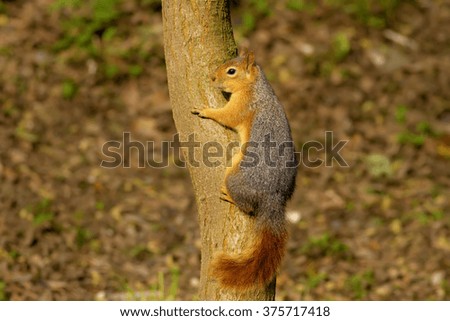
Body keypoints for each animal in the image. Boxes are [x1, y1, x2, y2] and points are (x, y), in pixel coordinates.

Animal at [192, 50, 298, 290]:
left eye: (232, 71)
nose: (213, 78)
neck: (255, 86)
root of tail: (274, 197)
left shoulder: (242, 106)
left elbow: (227, 116)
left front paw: (206, 111)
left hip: (234, 178)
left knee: (248, 207)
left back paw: (230, 197)